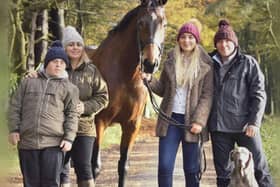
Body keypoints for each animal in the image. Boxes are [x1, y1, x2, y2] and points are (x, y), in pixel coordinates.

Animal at [89, 0, 167, 186]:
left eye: (164, 24)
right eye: (140, 23)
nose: (150, 64)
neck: (124, 74)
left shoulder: (132, 125)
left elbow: (123, 166)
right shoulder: (99, 121)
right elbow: (95, 166)